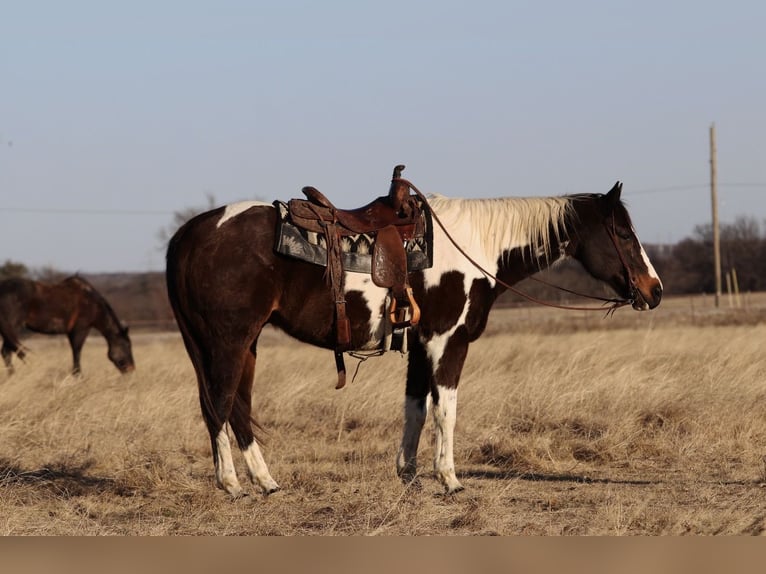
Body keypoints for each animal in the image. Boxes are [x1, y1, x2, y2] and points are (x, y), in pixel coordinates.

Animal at [0, 275, 135, 376]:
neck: (92, 304)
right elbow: (77, 353)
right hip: (13, 328)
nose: (131, 369)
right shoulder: (80, 330)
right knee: (8, 352)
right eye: (127, 345)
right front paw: (78, 376)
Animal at [166, 177, 662, 497]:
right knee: (220, 405)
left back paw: (266, 482)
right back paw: (231, 484)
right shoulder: (447, 341)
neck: (474, 247)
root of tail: (189, 233)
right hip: (229, 342)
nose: (654, 291)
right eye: (622, 232)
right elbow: (446, 411)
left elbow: (416, 411)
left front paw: (408, 474)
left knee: (239, 407)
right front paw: (450, 479)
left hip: (244, 345)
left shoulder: (421, 345)